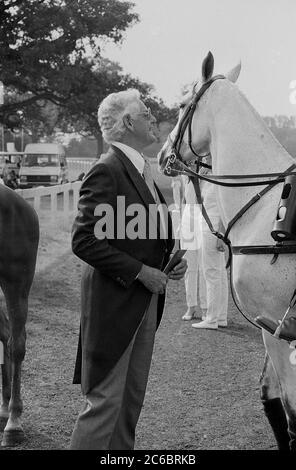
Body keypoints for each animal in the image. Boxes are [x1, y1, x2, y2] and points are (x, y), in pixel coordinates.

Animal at [160, 52, 296, 452]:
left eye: (181, 105)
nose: (162, 154)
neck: (264, 206)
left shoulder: (275, 327)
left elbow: (291, 413)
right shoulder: (272, 328)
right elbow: (270, 397)